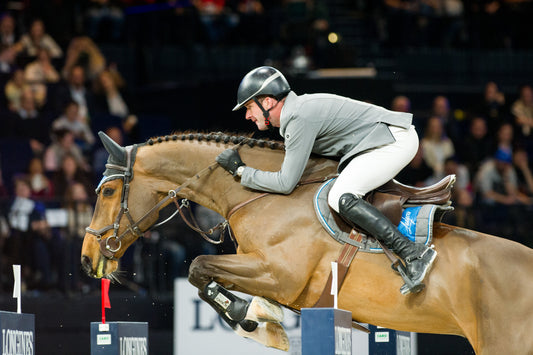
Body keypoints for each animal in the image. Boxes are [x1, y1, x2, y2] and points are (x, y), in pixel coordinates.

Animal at [81, 131, 532, 355]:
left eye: (107, 192)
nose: (88, 259)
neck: (263, 192)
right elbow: (202, 274)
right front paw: (255, 318)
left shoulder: (278, 274)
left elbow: (198, 267)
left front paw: (252, 318)